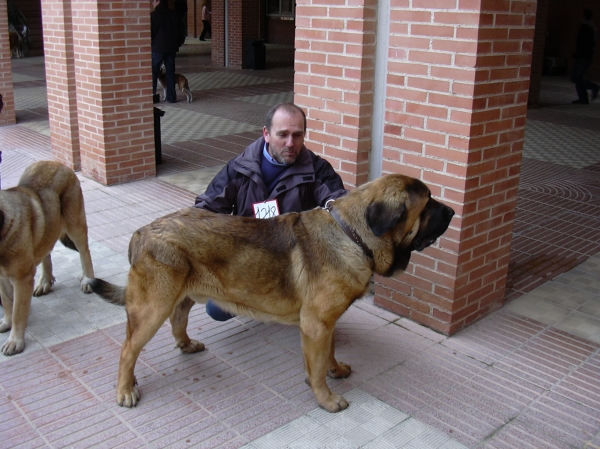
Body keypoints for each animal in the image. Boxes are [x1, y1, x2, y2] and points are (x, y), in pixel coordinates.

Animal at [0, 160, 95, 354]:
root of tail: (57, 163)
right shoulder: (2, 278)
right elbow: (6, 302)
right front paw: (6, 322)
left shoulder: (21, 279)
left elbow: (17, 312)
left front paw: (15, 340)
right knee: (46, 251)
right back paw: (45, 281)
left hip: (75, 225)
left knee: (84, 252)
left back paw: (87, 279)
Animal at [91, 173, 452, 412]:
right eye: (428, 203)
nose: (451, 211)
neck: (351, 234)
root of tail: (141, 232)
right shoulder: (316, 325)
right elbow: (316, 368)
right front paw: (326, 398)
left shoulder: (326, 323)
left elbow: (328, 353)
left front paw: (335, 370)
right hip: (153, 306)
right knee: (128, 349)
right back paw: (125, 390)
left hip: (183, 294)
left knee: (178, 319)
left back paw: (186, 344)